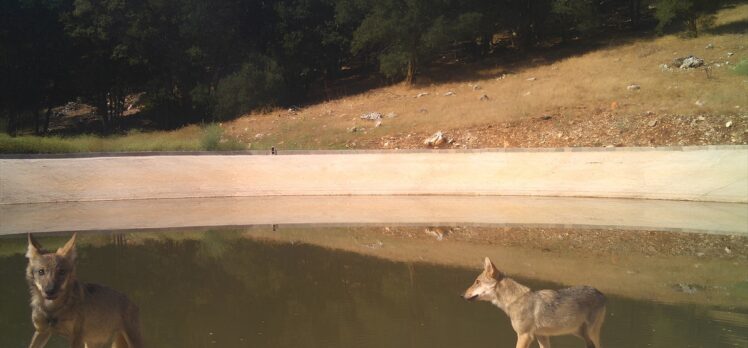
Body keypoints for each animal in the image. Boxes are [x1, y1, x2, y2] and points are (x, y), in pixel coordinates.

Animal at [462, 256, 608, 348]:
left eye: (477, 282)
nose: (462, 295)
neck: (515, 300)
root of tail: (601, 293)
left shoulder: (524, 336)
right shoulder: (542, 336)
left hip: (589, 334)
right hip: (580, 334)